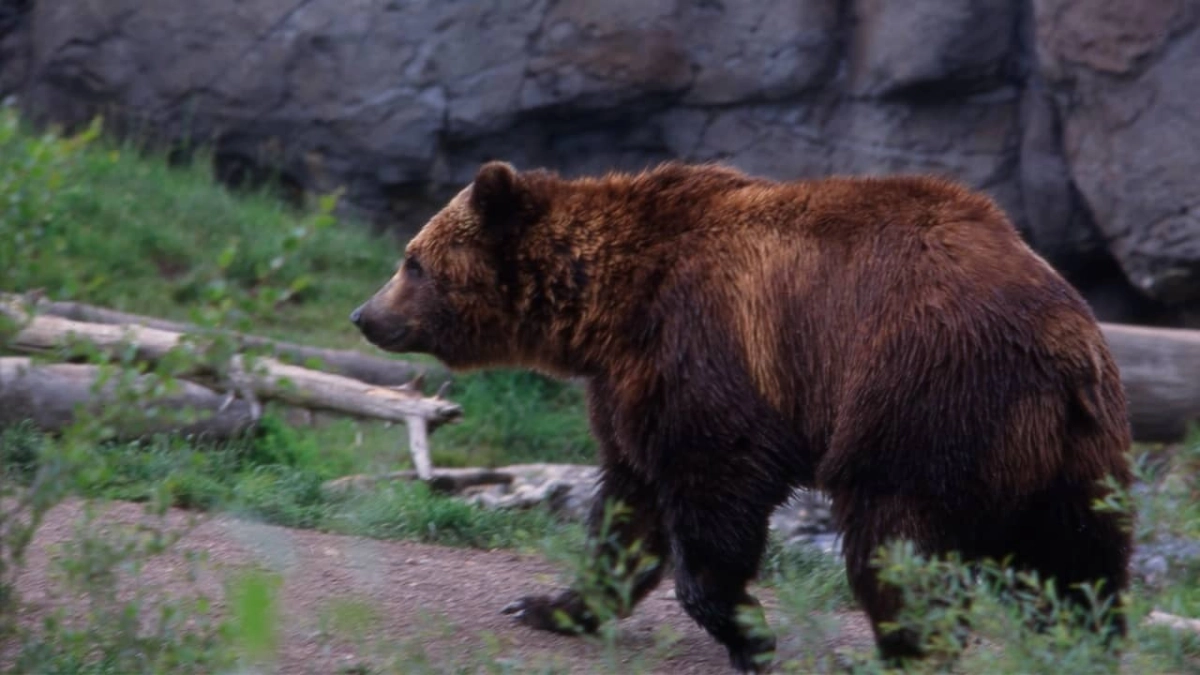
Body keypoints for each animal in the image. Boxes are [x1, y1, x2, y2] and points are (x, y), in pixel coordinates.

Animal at [350, 159, 1132, 667]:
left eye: (412, 261)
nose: (365, 315)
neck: (609, 303)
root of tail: (1063, 346)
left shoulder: (707, 350)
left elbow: (713, 487)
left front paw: (747, 629)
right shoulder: (630, 383)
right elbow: (628, 504)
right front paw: (549, 603)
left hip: (923, 398)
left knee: (895, 539)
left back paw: (902, 650)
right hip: (1075, 452)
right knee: (1082, 561)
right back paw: (1083, 645)